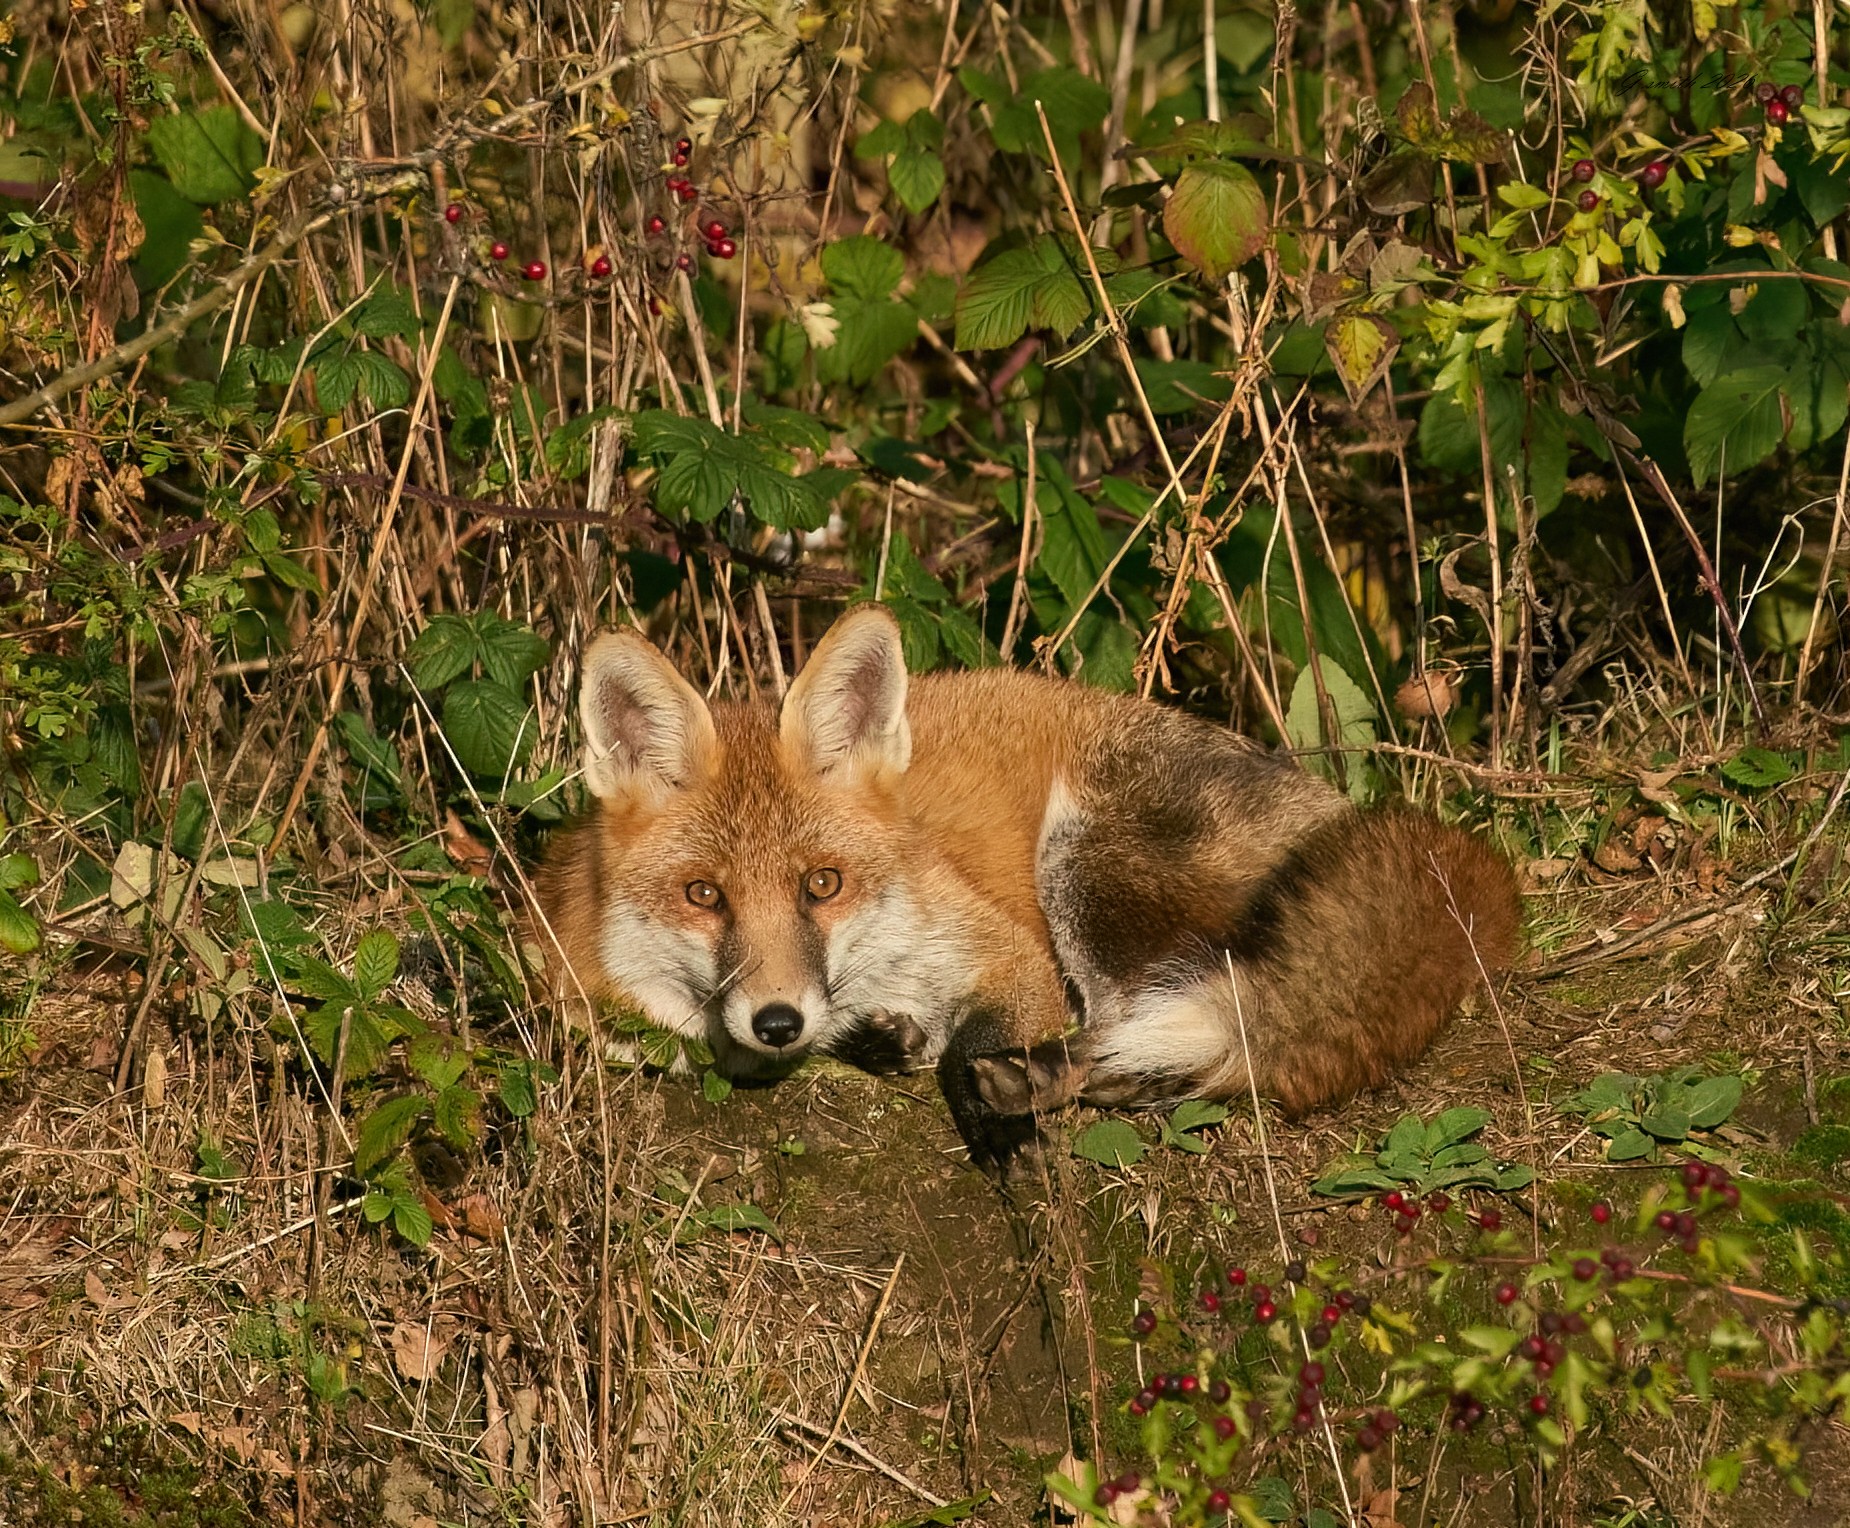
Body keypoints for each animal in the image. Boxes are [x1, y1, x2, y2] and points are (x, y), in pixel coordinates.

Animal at [534, 604, 1522, 1175]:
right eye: (704, 895)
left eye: (823, 884)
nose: (779, 1021)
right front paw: (886, 1041)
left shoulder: (1013, 951)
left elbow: (975, 1041)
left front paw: (985, 1099)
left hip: (1083, 867)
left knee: (1186, 1031)